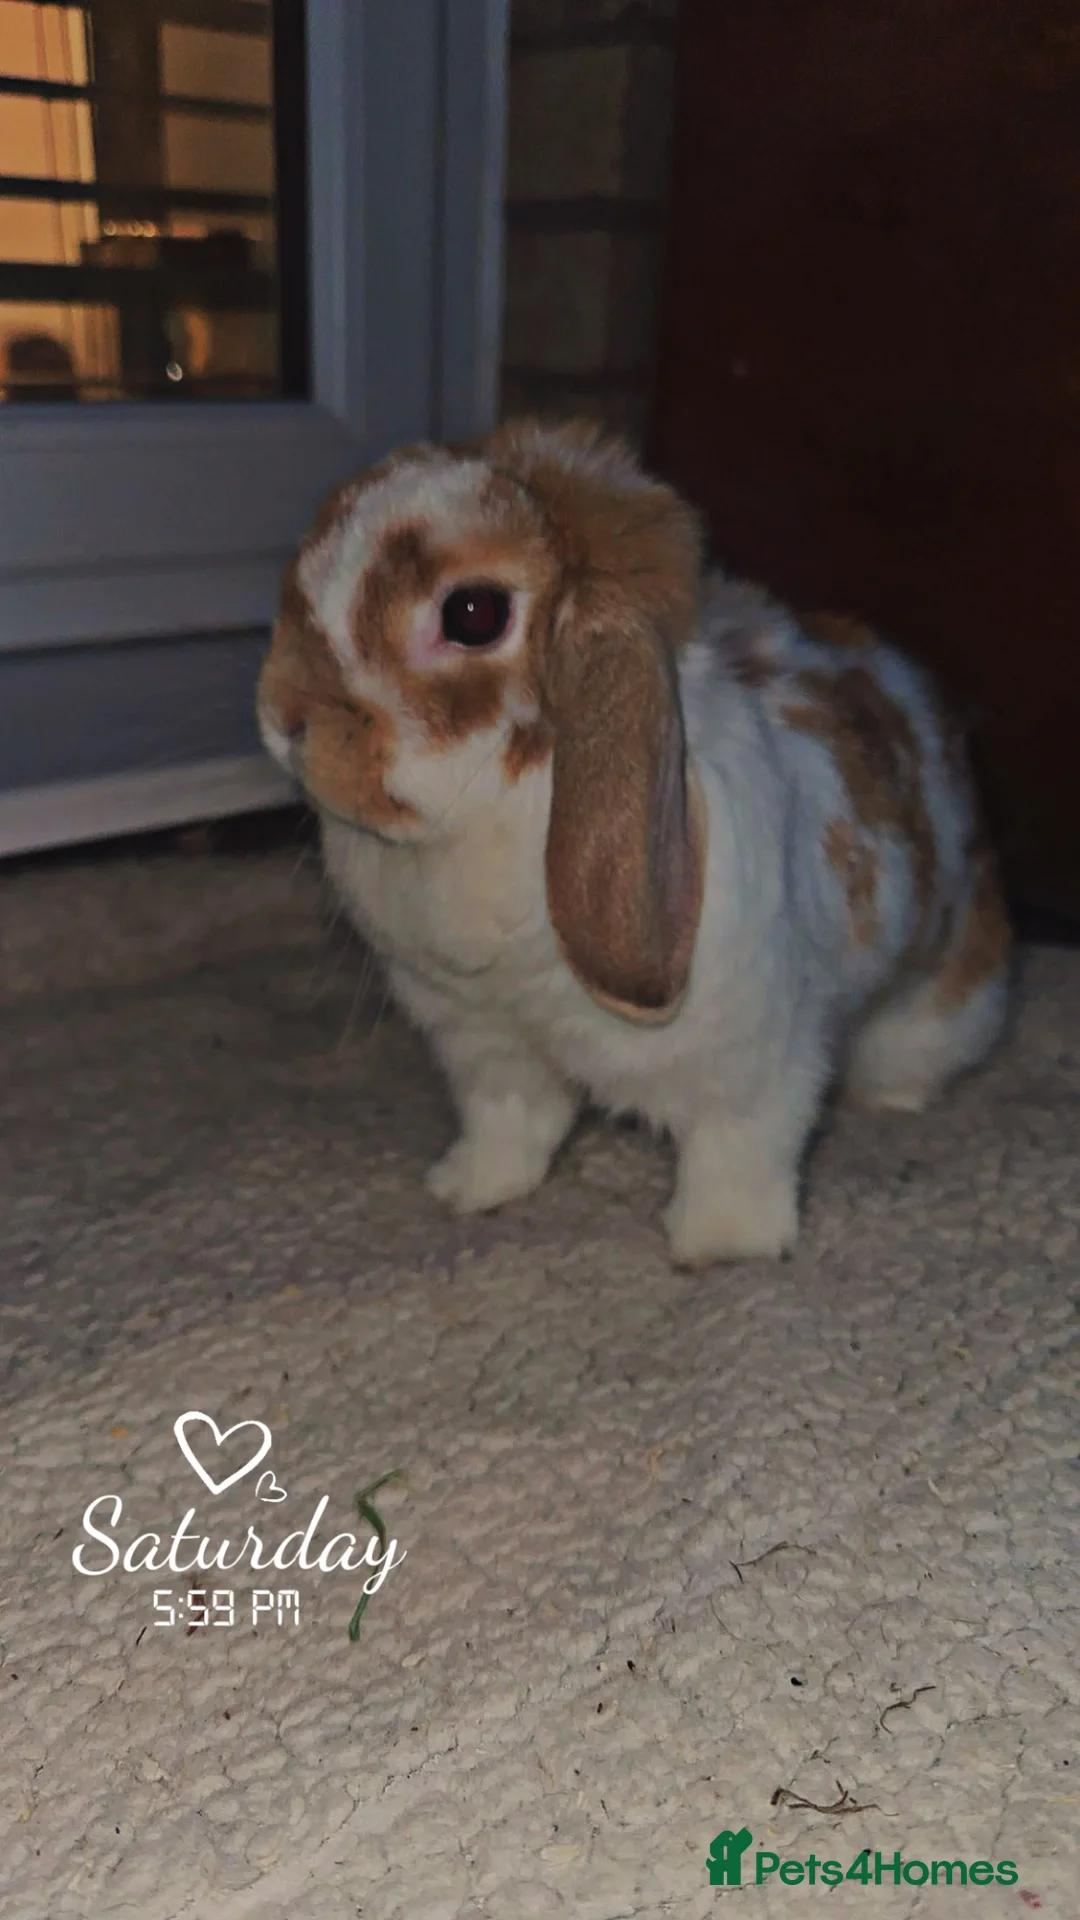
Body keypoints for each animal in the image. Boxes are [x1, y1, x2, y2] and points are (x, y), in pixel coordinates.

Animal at [257, 419, 1011, 1264]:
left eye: (473, 613)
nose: (284, 718)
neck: (501, 808)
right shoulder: (489, 1045)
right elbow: (510, 1125)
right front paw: (468, 1190)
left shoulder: (752, 1063)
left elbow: (737, 1153)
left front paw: (719, 1246)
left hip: (943, 985)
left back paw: (895, 1098)